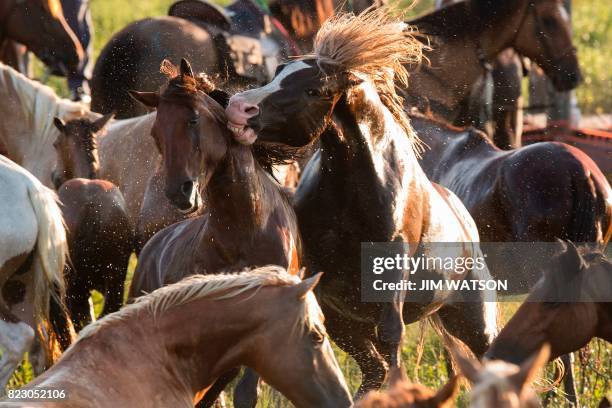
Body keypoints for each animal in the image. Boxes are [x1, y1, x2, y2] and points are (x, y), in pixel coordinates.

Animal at [227, 9, 500, 396]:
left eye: (314, 89)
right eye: (279, 72)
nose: (239, 108)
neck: (356, 187)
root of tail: (465, 225)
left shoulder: (392, 268)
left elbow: (391, 336)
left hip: (475, 322)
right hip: (349, 326)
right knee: (374, 370)